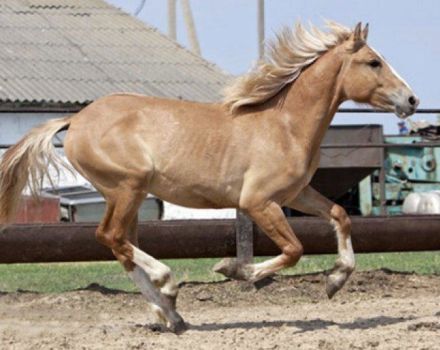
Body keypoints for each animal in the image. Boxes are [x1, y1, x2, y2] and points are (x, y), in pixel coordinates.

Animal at [0, 20, 420, 332]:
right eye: (373, 62)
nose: (412, 100)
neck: (284, 124)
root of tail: (76, 120)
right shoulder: (258, 202)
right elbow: (293, 250)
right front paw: (233, 269)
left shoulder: (295, 195)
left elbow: (340, 216)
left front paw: (335, 281)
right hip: (126, 188)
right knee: (112, 237)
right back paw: (168, 285)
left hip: (128, 196)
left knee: (121, 245)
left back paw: (170, 314)